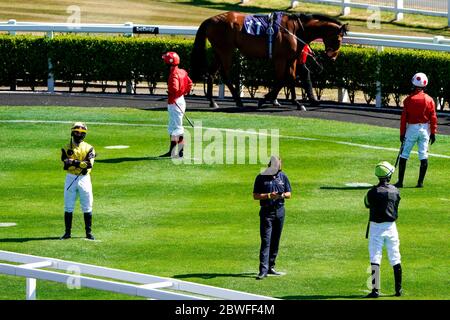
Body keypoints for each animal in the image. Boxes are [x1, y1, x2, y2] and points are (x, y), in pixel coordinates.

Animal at [190, 11, 348, 109]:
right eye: (339, 39)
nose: (333, 56)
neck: (295, 30)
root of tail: (210, 20)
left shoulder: (291, 59)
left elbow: (290, 78)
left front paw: (296, 102)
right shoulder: (280, 58)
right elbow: (281, 79)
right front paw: (265, 99)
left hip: (219, 51)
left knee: (211, 73)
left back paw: (213, 101)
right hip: (225, 50)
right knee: (225, 74)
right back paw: (238, 100)